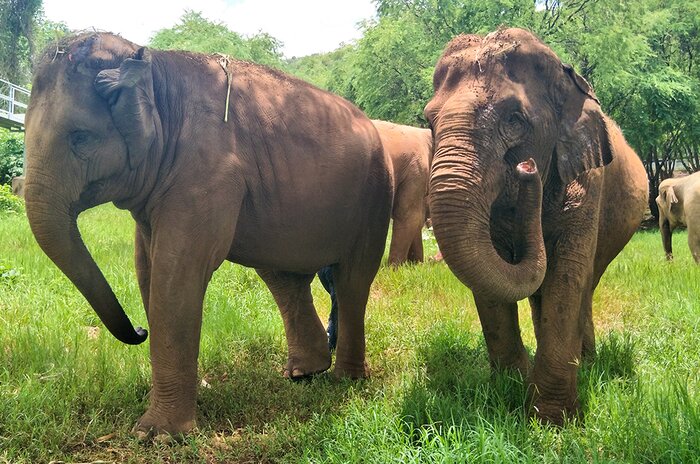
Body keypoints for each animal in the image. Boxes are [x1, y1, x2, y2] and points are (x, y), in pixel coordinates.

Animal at [23, 33, 393, 437]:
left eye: (80, 137)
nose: (139, 330)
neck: (157, 68)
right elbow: (148, 271)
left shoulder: (208, 175)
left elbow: (177, 275)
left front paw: (157, 435)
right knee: (284, 277)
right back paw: (303, 373)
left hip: (375, 195)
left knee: (352, 280)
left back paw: (345, 379)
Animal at [423, 28, 648, 424]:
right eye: (428, 123)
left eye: (514, 120)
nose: (526, 169)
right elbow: (491, 280)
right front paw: (506, 396)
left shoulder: (588, 179)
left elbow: (566, 276)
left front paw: (550, 420)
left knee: (585, 282)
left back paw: (588, 362)